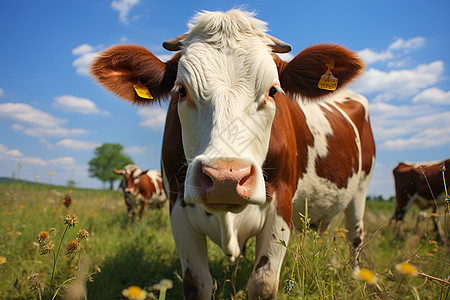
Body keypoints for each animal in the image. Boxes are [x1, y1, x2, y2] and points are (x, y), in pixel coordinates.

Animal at [89, 9, 374, 300]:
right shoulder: (177, 208)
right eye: (181, 90)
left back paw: (355, 277)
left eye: (273, 90)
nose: (226, 178)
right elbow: (197, 284)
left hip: (361, 187)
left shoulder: (281, 206)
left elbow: (262, 283)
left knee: (356, 234)